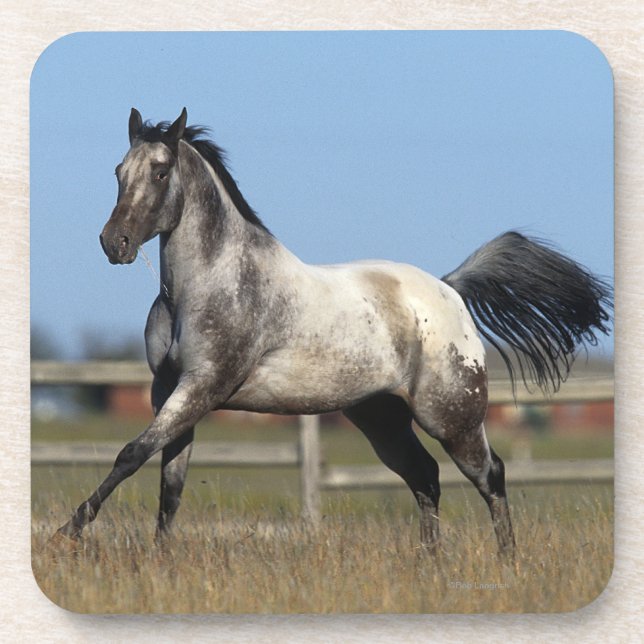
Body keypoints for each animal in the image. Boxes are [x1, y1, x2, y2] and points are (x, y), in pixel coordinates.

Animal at [54, 107, 612, 558]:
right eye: (119, 171)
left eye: (161, 171)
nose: (114, 243)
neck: (206, 286)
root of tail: (449, 289)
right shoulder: (169, 391)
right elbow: (169, 483)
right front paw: (161, 560)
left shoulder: (202, 387)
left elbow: (131, 454)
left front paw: (68, 533)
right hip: (380, 418)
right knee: (425, 478)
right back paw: (429, 565)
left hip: (452, 417)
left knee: (489, 475)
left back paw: (507, 562)